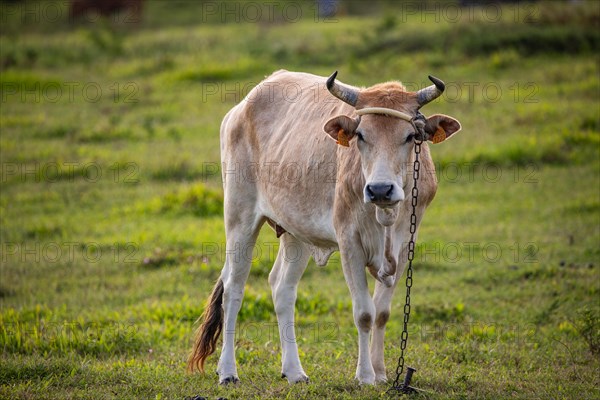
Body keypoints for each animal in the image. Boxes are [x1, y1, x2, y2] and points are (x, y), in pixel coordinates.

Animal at [190, 70, 462, 386]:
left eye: (409, 136)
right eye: (361, 135)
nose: (380, 189)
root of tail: (243, 105)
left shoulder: (406, 244)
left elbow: (382, 312)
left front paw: (381, 372)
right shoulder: (349, 242)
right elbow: (364, 313)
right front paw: (365, 375)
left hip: (295, 232)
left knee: (282, 288)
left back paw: (294, 371)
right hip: (239, 216)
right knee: (233, 288)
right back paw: (228, 371)